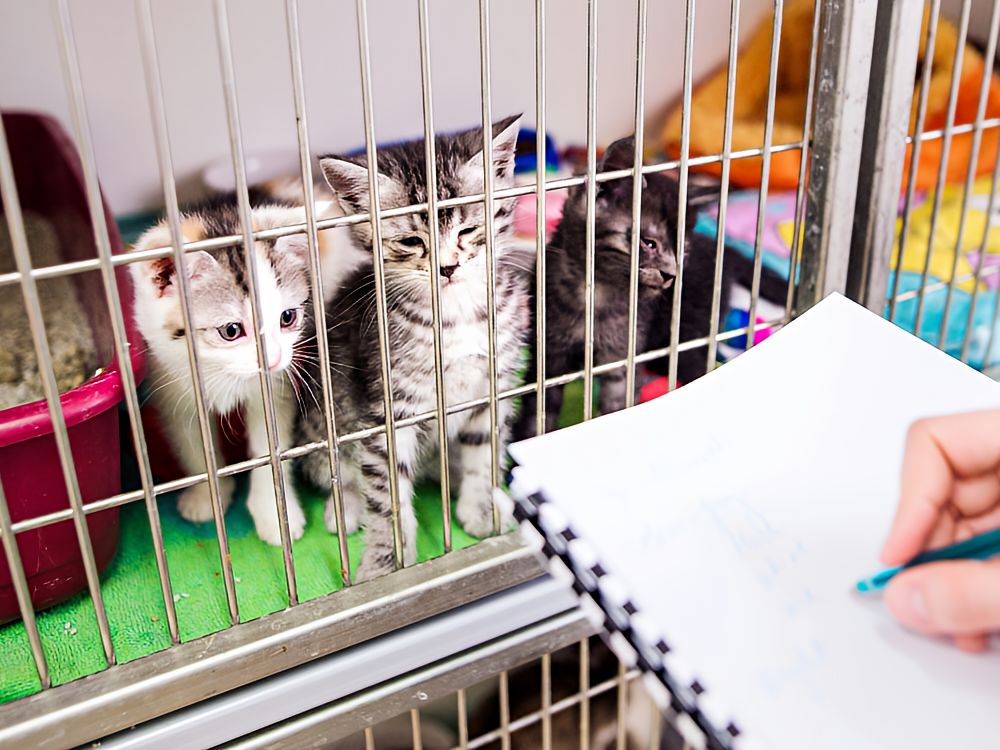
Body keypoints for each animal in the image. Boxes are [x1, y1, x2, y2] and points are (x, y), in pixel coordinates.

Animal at [296, 114, 532, 580]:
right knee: (337, 472)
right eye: (411, 242)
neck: (456, 315)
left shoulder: (492, 387)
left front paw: (483, 509)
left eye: (468, 229)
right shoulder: (388, 412)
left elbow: (483, 451)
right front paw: (386, 561)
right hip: (323, 414)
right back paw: (345, 509)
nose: (448, 267)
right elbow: (386, 494)